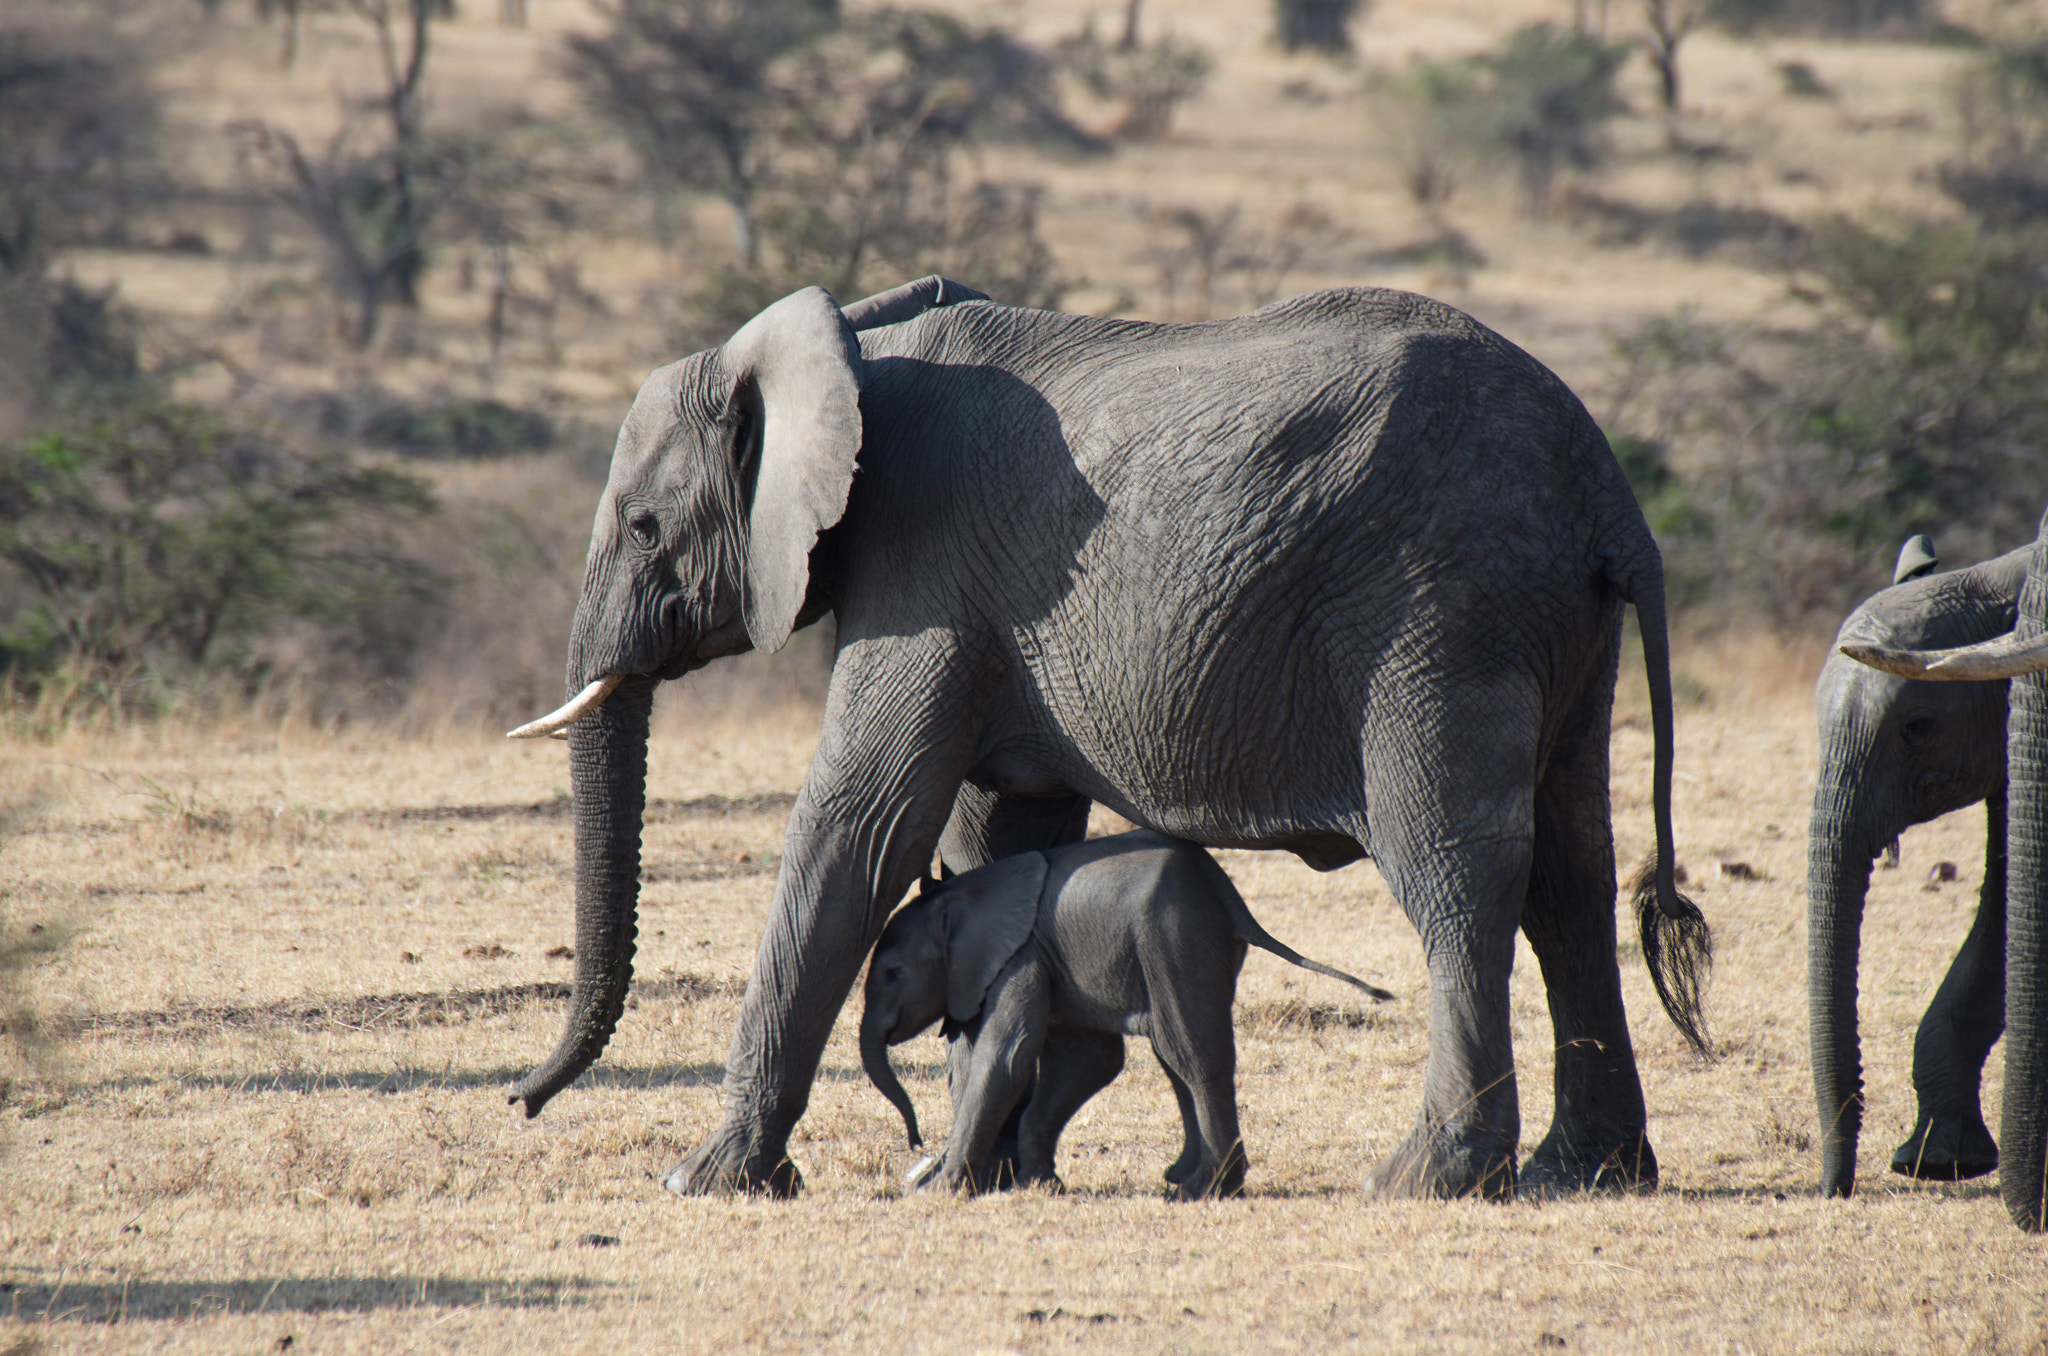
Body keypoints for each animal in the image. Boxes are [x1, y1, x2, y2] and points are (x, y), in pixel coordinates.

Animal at [864, 827, 1392, 1204]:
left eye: (892, 974)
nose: (916, 1145)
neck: (963, 897)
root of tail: (1231, 899)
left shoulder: (1020, 956)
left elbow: (1007, 1058)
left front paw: (933, 1194)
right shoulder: (1056, 962)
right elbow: (1087, 1062)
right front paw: (1041, 1186)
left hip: (1174, 933)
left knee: (1191, 1054)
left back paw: (1204, 1190)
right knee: (1173, 1052)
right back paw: (1183, 1178)